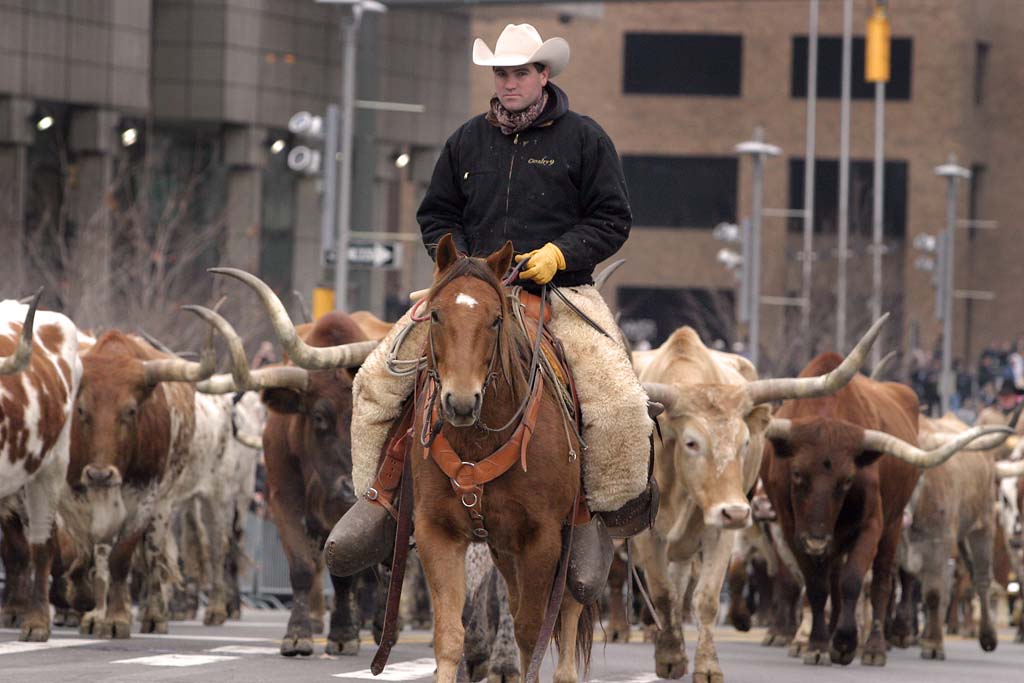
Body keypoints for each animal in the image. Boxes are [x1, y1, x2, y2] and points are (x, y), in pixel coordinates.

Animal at [411, 235, 593, 683]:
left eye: (494, 320)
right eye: (436, 314)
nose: (460, 401)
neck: (478, 442)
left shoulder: (542, 538)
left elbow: (532, 632)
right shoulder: (437, 531)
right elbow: (449, 635)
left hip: (574, 536)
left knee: (569, 608)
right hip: (504, 548)